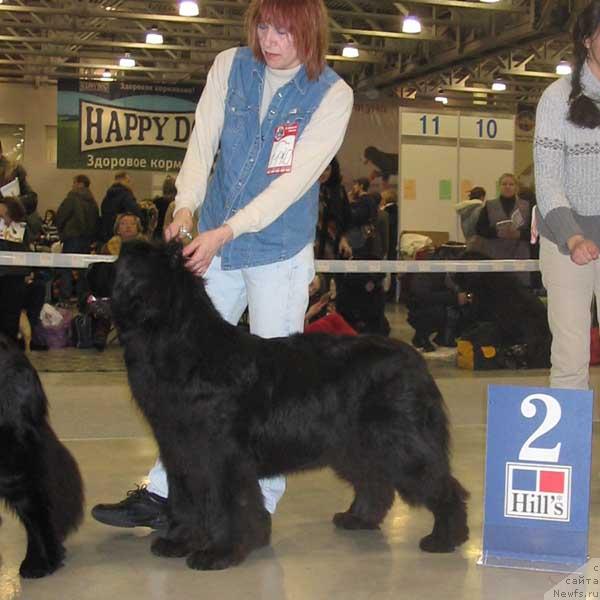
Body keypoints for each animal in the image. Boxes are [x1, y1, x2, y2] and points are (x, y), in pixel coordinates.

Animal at [106, 240, 468, 572]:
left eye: (121, 260)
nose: (100, 269)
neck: (185, 348)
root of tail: (415, 360)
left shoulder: (222, 457)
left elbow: (226, 505)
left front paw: (220, 552)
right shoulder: (179, 451)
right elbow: (186, 500)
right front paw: (180, 541)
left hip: (399, 443)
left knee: (439, 484)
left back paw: (445, 537)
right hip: (353, 446)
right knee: (374, 481)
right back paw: (358, 518)